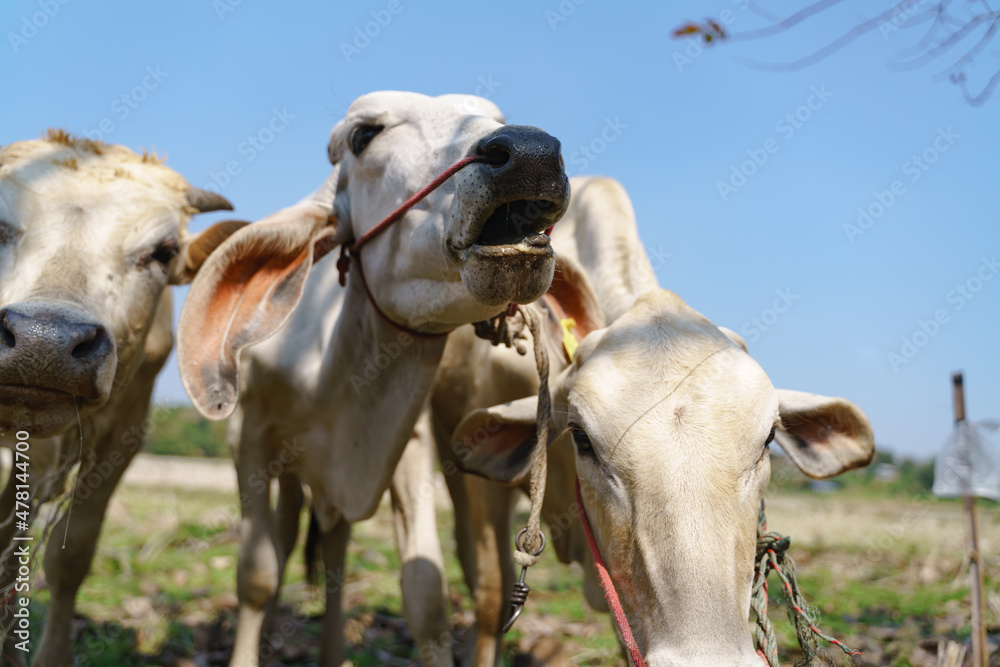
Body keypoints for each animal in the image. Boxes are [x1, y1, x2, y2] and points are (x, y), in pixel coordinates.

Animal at [175, 91, 570, 666]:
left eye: (495, 118)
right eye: (365, 135)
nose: (530, 151)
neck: (335, 375)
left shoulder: (407, 446)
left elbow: (425, 595)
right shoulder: (249, 440)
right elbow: (258, 574)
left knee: (335, 549)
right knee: (288, 538)